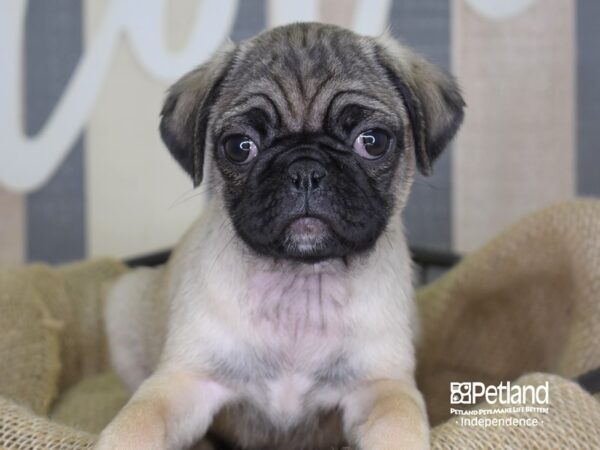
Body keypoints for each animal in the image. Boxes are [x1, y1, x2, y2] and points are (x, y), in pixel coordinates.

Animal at [97, 22, 464, 450]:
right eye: (240, 147)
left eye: (372, 141)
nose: (305, 170)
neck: (299, 285)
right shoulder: (185, 380)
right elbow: (138, 421)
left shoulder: (382, 386)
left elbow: (397, 426)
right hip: (123, 305)